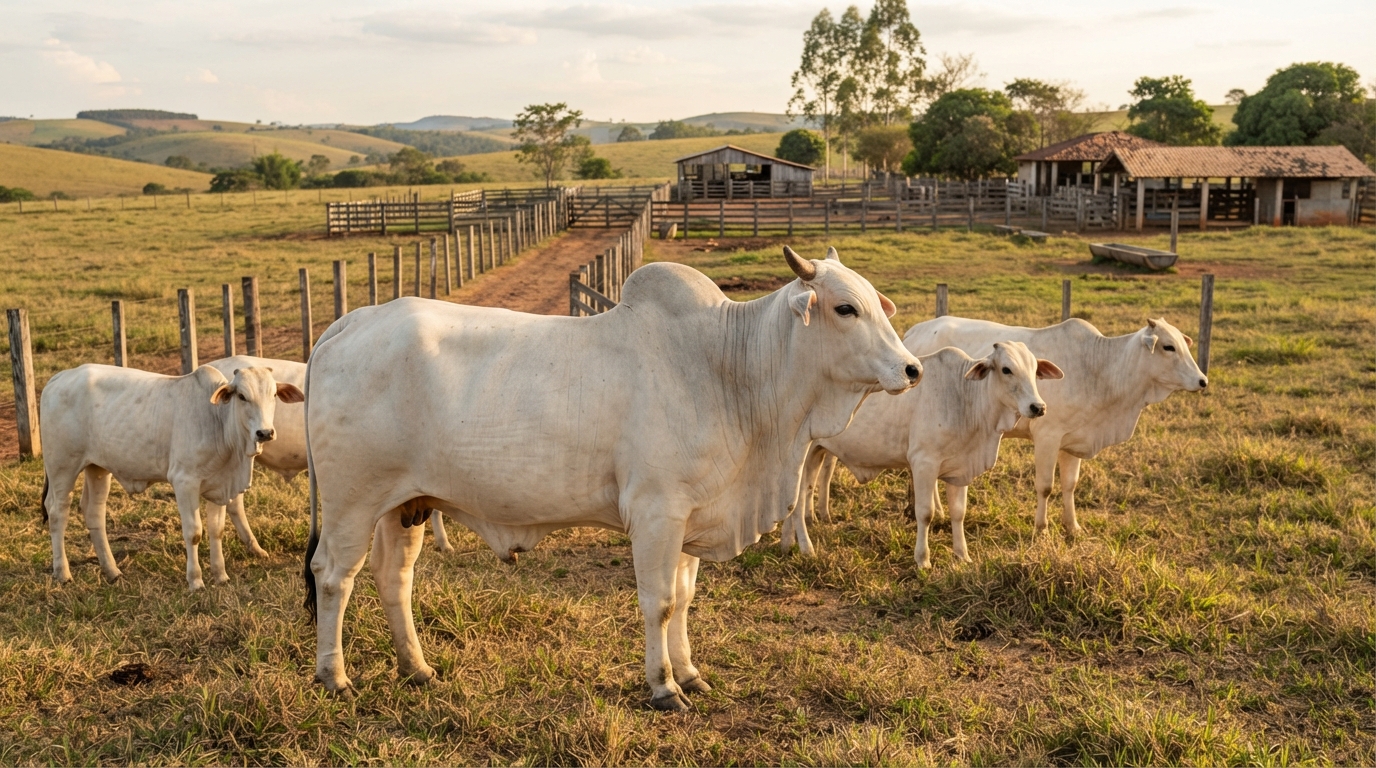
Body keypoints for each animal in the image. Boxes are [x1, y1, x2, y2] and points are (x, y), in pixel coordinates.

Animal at [40, 364, 304, 590]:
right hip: (62, 467)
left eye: (273, 395)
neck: (218, 422)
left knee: (93, 511)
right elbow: (194, 532)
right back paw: (62, 573)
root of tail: (59, 377)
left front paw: (220, 575)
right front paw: (195, 580)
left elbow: (216, 530)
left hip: (97, 468)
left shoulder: (219, 486)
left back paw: (112, 571)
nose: (265, 432)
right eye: (242, 396)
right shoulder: (184, 482)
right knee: (57, 512)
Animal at [302, 247, 922, 711]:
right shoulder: (656, 512)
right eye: (845, 308)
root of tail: (348, 324)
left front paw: (690, 672)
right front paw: (663, 687)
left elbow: (685, 598)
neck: (729, 368)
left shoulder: (691, 515)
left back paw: (417, 668)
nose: (912, 369)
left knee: (393, 578)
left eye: (877, 303)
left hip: (405, 504)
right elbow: (660, 601)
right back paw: (334, 677)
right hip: (351, 503)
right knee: (333, 576)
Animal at [781, 342, 1062, 567]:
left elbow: (958, 513)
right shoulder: (923, 464)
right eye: (1006, 369)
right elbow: (925, 513)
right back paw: (806, 548)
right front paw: (923, 560)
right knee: (797, 502)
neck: (965, 398)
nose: (1038, 407)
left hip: (815, 453)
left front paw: (963, 555)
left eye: (1035, 370)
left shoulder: (958, 470)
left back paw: (787, 543)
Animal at [903, 316, 1206, 537]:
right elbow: (1046, 486)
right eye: (1168, 347)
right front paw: (1041, 529)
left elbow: (1070, 485)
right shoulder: (1047, 436)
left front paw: (1073, 527)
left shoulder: (1072, 442)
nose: (1202, 380)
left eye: (1184, 344)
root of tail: (914, 331)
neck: (1101, 369)